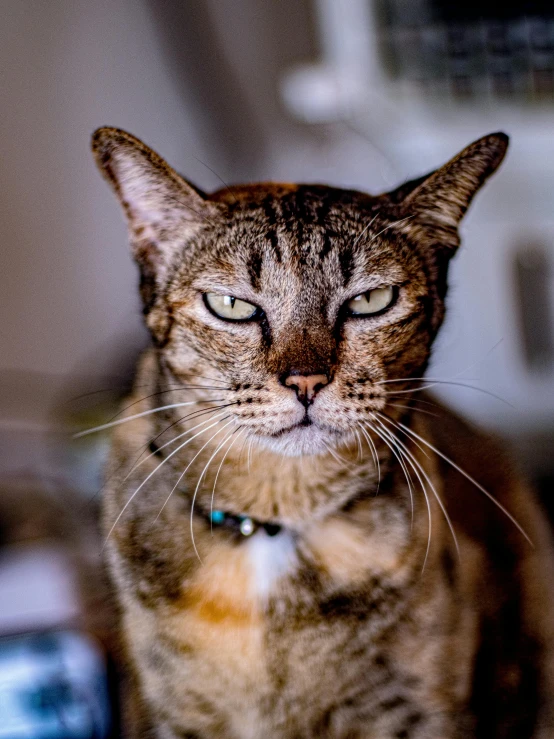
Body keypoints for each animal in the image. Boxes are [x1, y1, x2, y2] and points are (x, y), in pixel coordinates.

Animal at [88, 130, 552, 736]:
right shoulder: (176, 714)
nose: (305, 381)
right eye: (231, 305)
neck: (275, 520)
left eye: (370, 301)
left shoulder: (413, 713)